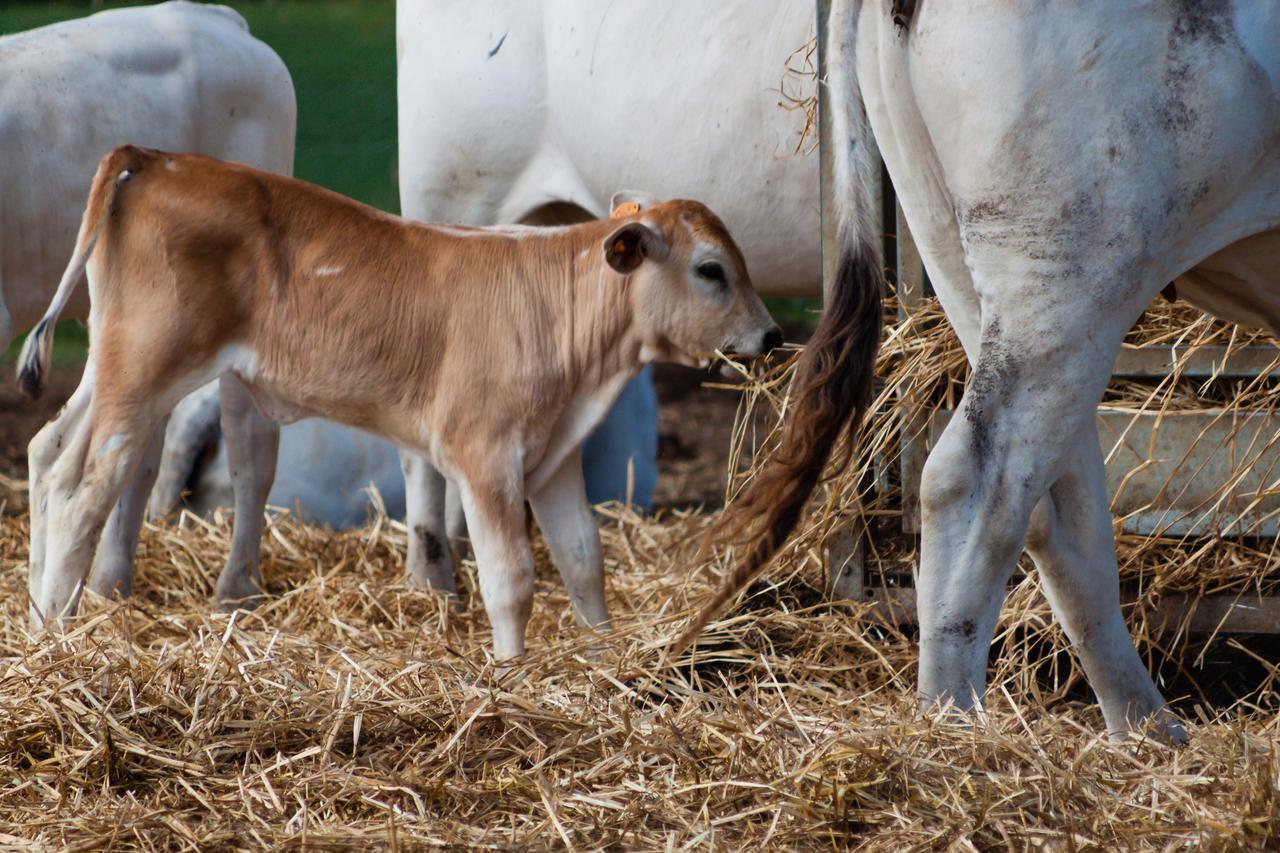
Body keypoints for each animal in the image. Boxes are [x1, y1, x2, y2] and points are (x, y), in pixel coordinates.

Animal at [686, 0, 1280, 737]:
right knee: (973, 479)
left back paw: (1149, 734)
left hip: (960, 249)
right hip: (1071, 254)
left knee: (1057, 505)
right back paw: (956, 727)